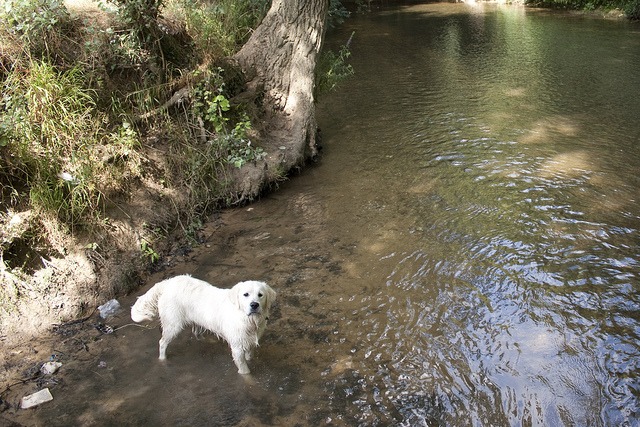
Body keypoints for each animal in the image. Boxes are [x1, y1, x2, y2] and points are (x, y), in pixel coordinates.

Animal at [131, 275, 276, 374]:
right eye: (246, 294)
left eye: (260, 295)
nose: (254, 305)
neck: (248, 320)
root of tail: (168, 282)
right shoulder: (237, 348)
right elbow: (245, 370)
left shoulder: (250, 342)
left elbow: (250, 356)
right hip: (173, 325)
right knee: (162, 343)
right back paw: (162, 359)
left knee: (196, 333)